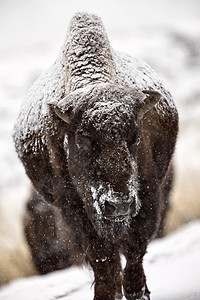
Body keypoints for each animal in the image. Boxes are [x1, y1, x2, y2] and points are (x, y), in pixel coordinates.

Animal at [14, 12, 178, 300]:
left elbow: (135, 248)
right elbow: (102, 256)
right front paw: (106, 293)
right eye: (82, 140)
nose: (118, 204)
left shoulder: (148, 195)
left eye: (135, 137)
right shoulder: (76, 209)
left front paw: (137, 292)